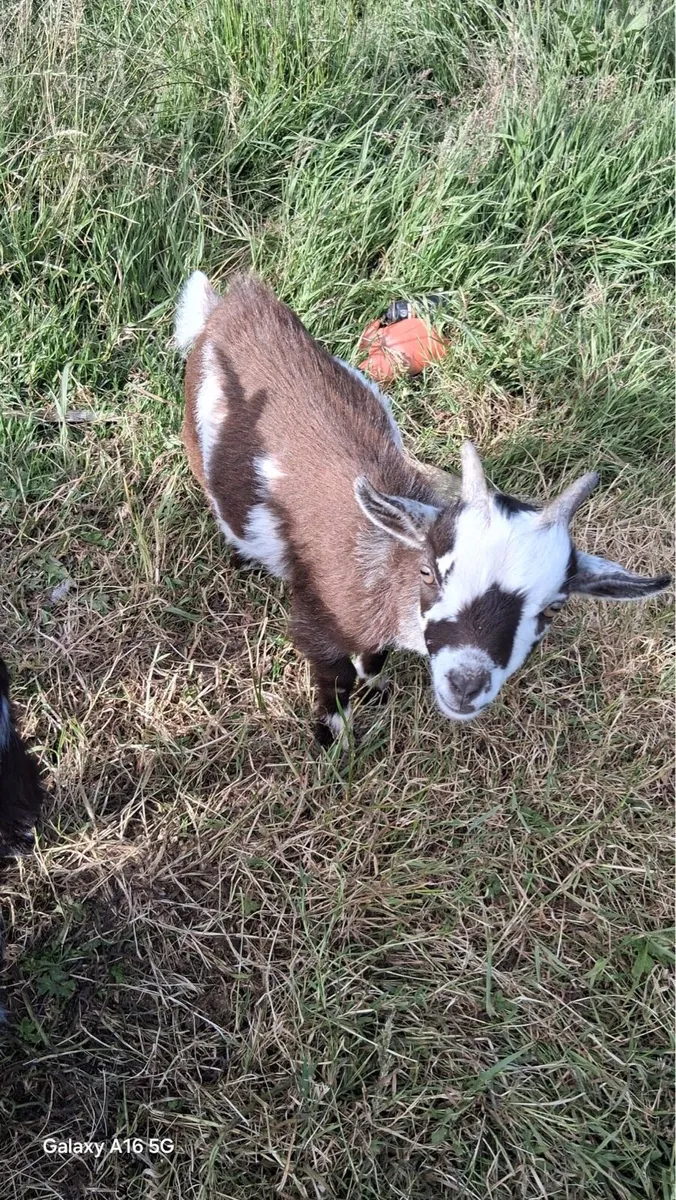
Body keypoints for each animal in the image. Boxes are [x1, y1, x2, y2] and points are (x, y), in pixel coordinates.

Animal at [175, 271, 670, 746]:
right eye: (429, 572)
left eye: (553, 608)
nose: (465, 684)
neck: (383, 562)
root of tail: (238, 301)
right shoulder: (317, 619)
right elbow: (334, 676)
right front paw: (334, 737)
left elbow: (374, 657)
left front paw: (375, 684)